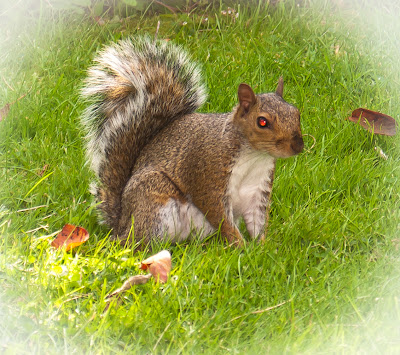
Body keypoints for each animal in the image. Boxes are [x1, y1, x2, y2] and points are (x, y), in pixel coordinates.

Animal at [82, 36, 304, 248]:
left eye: (297, 113)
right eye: (262, 122)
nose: (298, 146)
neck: (254, 156)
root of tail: (122, 224)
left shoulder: (257, 191)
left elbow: (257, 221)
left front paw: (263, 247)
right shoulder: (208, 174)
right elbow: (220, 216)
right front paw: (241, 246)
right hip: (153, 201)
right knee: (136, 240)